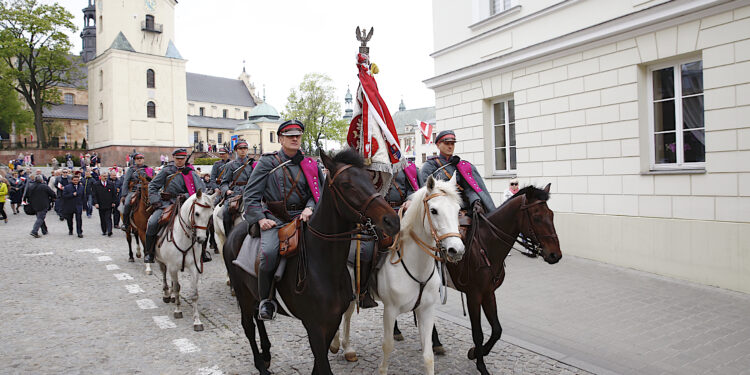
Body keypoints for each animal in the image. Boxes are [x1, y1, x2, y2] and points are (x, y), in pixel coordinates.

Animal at [155, 191, 216, 332]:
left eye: (210, 215)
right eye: (197, 213)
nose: (201, 239)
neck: (184, 238)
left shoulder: (194, 267)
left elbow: (194, 293)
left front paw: (197, 321)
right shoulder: (172, 266)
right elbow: (177, 288)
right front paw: (178, 311)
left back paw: (171, 296)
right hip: (161, 262)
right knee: (164, 275)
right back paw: (167, 294)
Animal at [222, 150, 402, 375]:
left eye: (370, 180)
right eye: (346, 184)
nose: (392, 221)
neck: (325, 265)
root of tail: (234, 232)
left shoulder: (332, 321)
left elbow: (320, 362)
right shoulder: (314, 326)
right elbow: (323, 365)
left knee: (257, 317)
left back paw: (267, 353)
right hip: (243, 294)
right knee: (248, 326)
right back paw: (261, 365)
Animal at [334, 175, 464, 374]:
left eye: (458, 211)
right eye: (433, 210)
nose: (456, 250)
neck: (416, 266)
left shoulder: (426, 310)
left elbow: (428, 356)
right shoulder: (390, 310)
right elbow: (387, 346)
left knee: (347, 314)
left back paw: (347, 349)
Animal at [446, 184, 564, 374]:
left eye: (551, 215)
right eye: (537, 217)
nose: (555, 255)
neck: (485, 244)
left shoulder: (488, 293)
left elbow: (497, 330)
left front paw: (475, 353)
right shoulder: (474, 296)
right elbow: (478, 333)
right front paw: (481, 365)